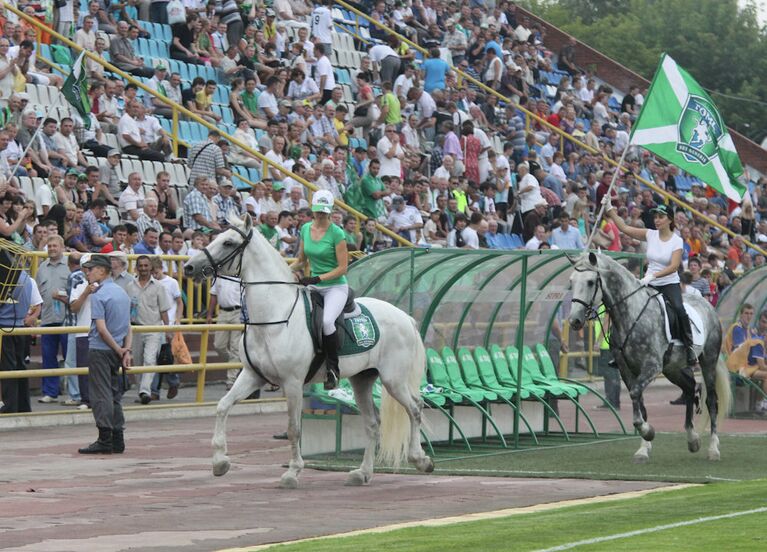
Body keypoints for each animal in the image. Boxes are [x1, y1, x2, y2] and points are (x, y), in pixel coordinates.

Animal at [185, 213, 436, 490]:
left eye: (228, 242)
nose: (189, 268)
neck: (273, 316)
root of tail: (405, 317)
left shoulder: (292, 383)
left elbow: (294, 428)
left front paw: (292, 473)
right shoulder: (252, 376)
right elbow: (222, 406)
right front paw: (220, 462)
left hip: (394, 380)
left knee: (415, 408)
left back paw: (420, 460)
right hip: (362, 379)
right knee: (373, 424)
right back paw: (362, 473)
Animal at [568, 252, 732, 464]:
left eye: (589, 282)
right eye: (571, 282)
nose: (574, 321)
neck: (630, 314)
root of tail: (708, 304)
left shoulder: (651, 367)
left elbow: (636, 395)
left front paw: (648, 432)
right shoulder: (626, 369)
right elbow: (640, 403)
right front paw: (643, 449)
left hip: (707, 361)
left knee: (711, 401)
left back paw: (713, 449)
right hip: (672, 369)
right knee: (689, 388)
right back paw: (692, 439)